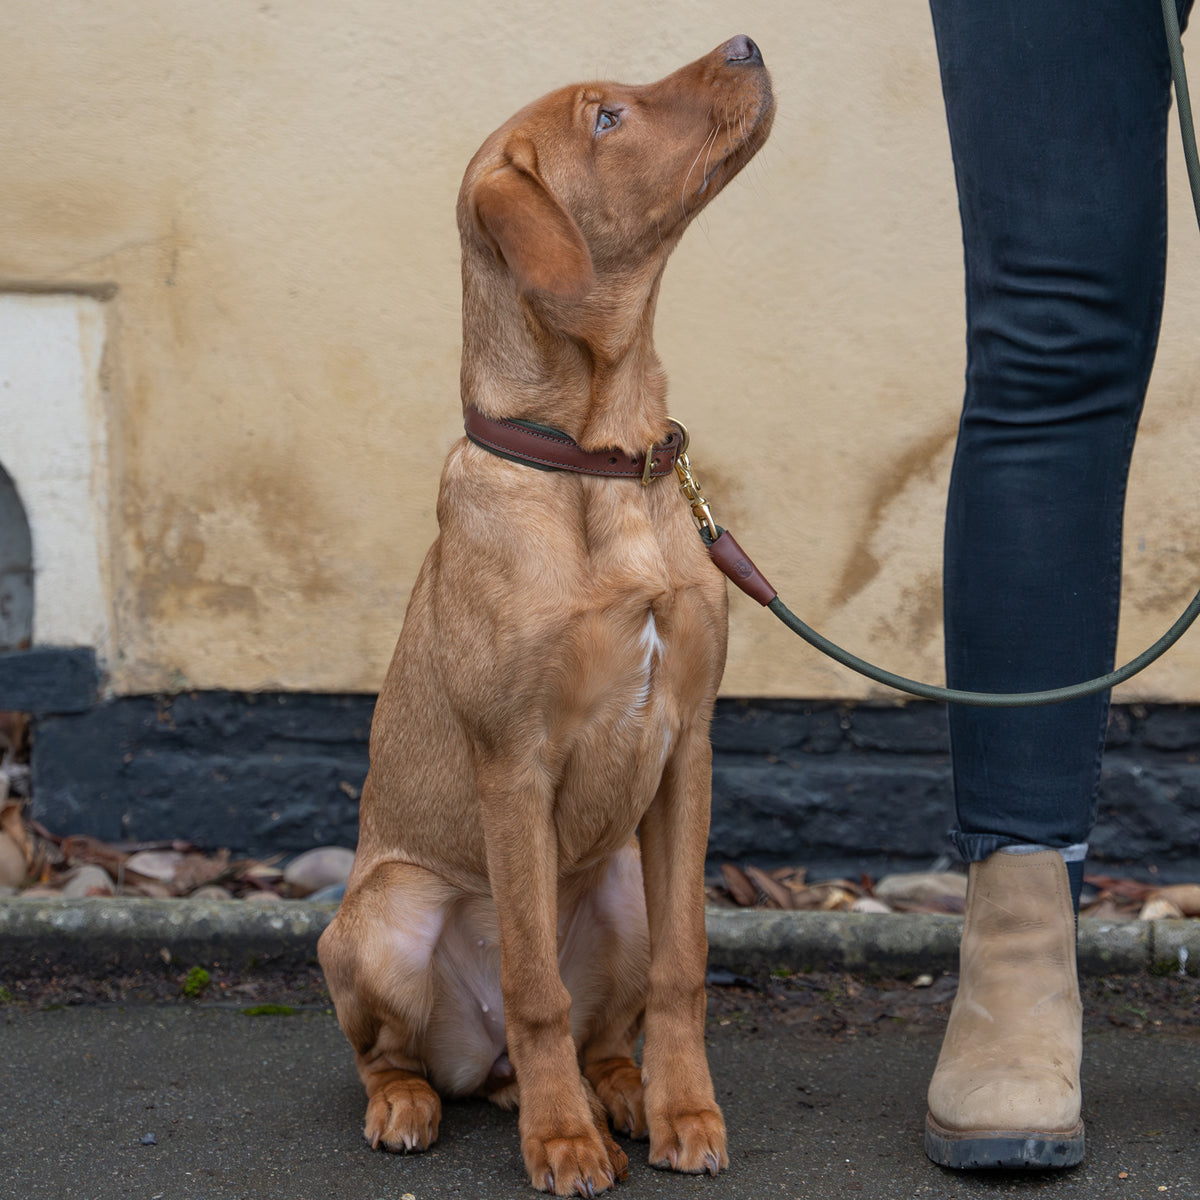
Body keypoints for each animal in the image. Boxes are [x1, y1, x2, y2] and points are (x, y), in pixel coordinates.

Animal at [319, 32, 772, 1195]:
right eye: (607, 118)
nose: (748, 41)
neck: (600, 459)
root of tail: (477, 1065)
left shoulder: (690, 746)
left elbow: (685, 966)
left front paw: (684, 1112)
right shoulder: (512, 763)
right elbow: (534, 985)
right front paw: (563, 1144)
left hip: (620, 888)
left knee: (601, 1026)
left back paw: (618, 1090)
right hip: (382, 917)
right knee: (404, 1052)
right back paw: (427, 1104)